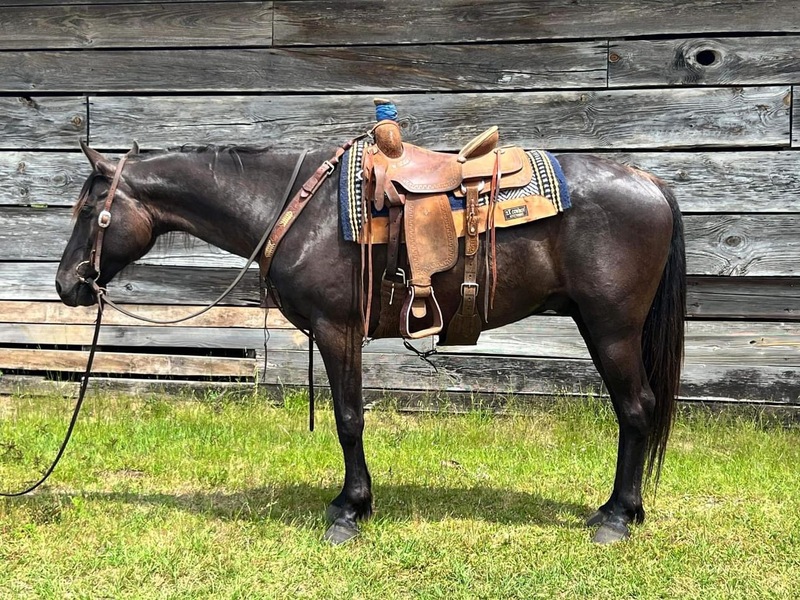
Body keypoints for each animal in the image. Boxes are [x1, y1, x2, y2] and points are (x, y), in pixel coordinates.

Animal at [55, 136, 685, 545]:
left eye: (90, 209)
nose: (66, 285)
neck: (294, 207)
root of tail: (649, 181)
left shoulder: (338, 330)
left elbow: (348, 418)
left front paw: (350, 510)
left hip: (612, 328)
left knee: (636, 409)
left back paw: (618, 518)